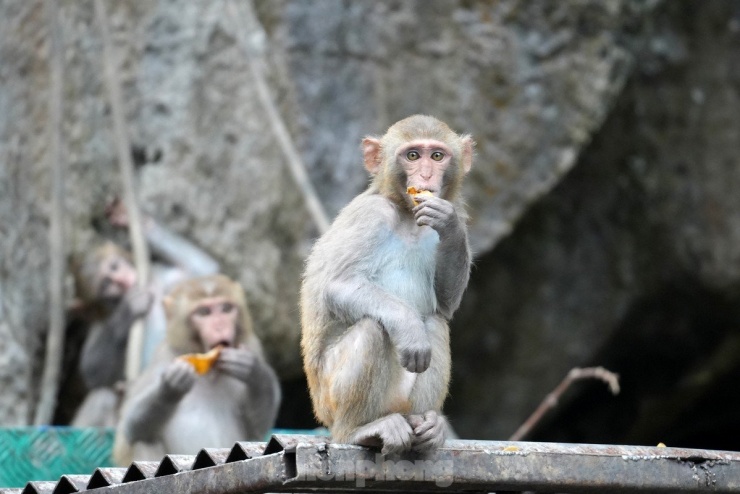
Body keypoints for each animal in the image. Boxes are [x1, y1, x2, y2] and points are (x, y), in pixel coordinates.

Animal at [69, 202, 219, 427]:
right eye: (107, 284)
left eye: (115, 266)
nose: (123, 280)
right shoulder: (101, 321)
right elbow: (93, 372)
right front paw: (129, 308)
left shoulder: (162, 282)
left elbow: (202, 271)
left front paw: (135, 220)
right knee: (104, 395)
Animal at [114, 274, 281, 463]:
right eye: (204, 312)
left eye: (226, 308)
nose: (220, 326)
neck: (211, 371)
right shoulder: (162, 358)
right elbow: (130, 427)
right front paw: (170, 387)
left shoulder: (253, 345)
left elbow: (256, 429)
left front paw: (253, 370)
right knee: (143, 441)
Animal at [300, 115, 474, 455]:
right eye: (412, 156)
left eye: (437, 156)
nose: (425, 175)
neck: (406, 214)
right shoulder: (370, 216)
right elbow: (338, 285)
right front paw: (409, 328)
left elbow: (445, 305)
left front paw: (447, 224)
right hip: (330, 397)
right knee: (374, 328)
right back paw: (358, 431)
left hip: (400, 402)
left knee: (435, 323)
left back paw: (426, 426)